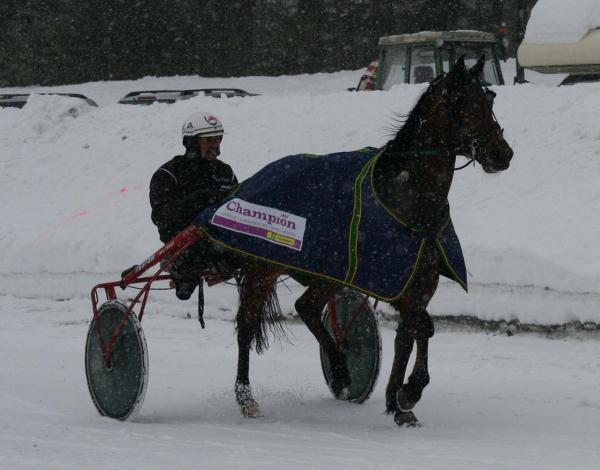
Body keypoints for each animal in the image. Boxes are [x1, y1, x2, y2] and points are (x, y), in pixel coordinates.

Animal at [232, 57, 512, 428]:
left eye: (489, 100)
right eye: (464, 104)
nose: (503, 154)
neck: (410, 200)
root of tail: (259, 176)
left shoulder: (420, 282)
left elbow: (410, 336)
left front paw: (398, 400)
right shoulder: (395, 281)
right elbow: (421, 328)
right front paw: (409, 391)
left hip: (327, 272)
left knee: (307, 307)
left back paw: (339, 368)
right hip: (263, 266)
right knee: (247, 325)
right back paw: (247, 395)